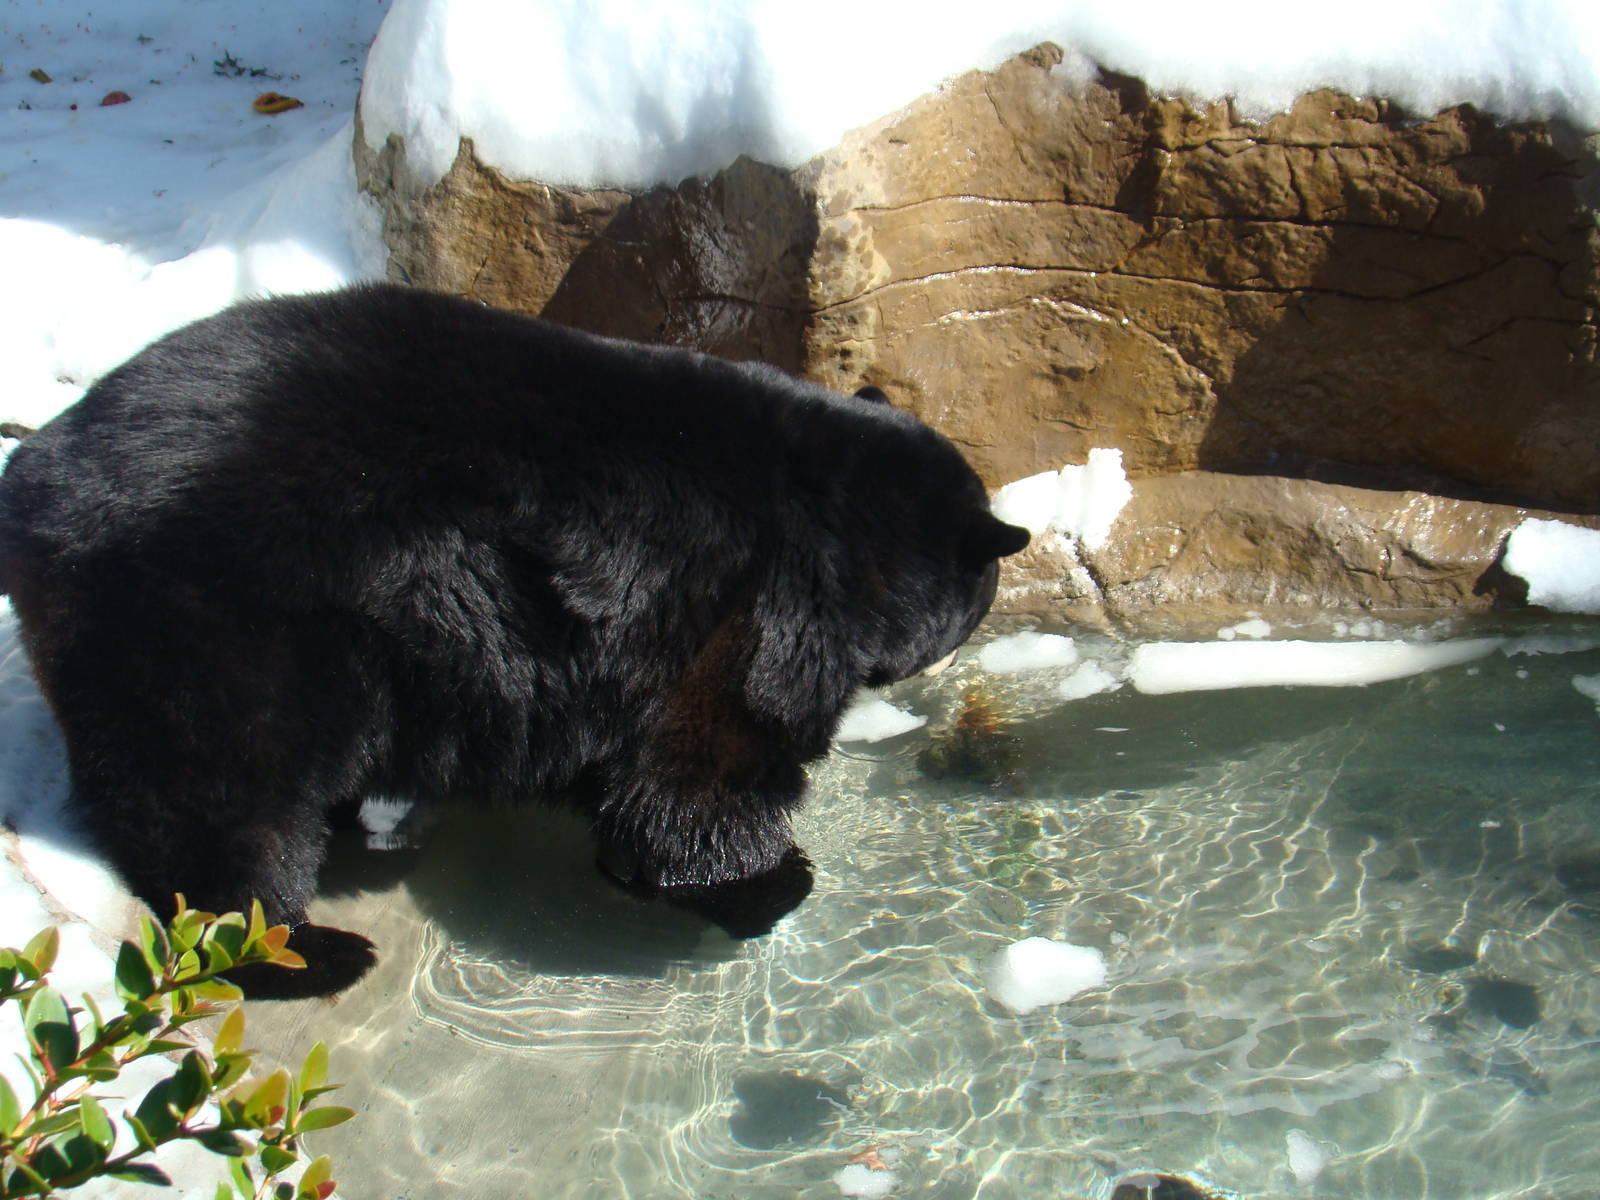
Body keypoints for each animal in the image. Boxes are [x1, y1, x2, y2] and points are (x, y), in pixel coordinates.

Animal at [0, 283, 1029, 997]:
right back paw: (298, 948)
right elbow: (698, 774)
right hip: (214, 623)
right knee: (220, 803)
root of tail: (35, 479)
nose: (951, 648)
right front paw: (765, 882)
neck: (836, 519)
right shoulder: (744, 614)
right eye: (979, 599)